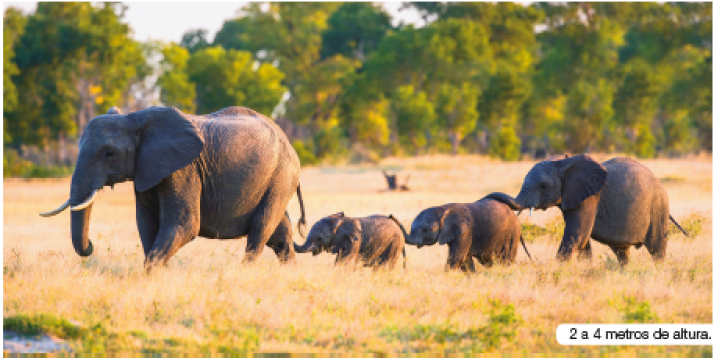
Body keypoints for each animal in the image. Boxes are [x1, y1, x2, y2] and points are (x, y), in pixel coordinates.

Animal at [39, 106, 306, 272]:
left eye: (109, 153)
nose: (91, 246)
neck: (134, 118)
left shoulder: (183, 170)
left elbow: (184, 224)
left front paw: (150, 276)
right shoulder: (146, 169)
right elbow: (147, 224)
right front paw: (159, 275)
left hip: (281, 176)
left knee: (261, 229)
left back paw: (244, 273)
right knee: (280, 232)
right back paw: (290, 274)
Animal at [484, 155, 684, 266]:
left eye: (543, 186)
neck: (563, 162)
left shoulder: (590, 197)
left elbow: (577, 234)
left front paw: (558, 268)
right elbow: (581, 239)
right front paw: (585, 267)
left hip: (658, 206)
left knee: (656, 247)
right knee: (621, 251)